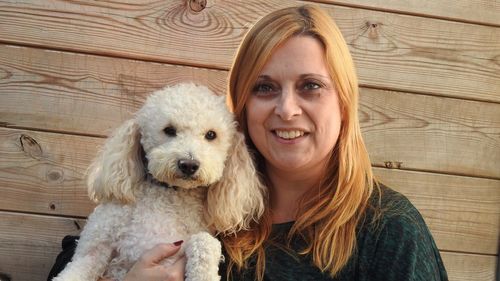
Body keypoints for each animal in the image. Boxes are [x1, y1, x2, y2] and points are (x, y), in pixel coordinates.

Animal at [52, 83, 266, 280]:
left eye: (211, 135)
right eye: (169, 130)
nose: (188, 164)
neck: (169, 194)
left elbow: (205, 242)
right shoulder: (93, 247)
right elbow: (74, 270)